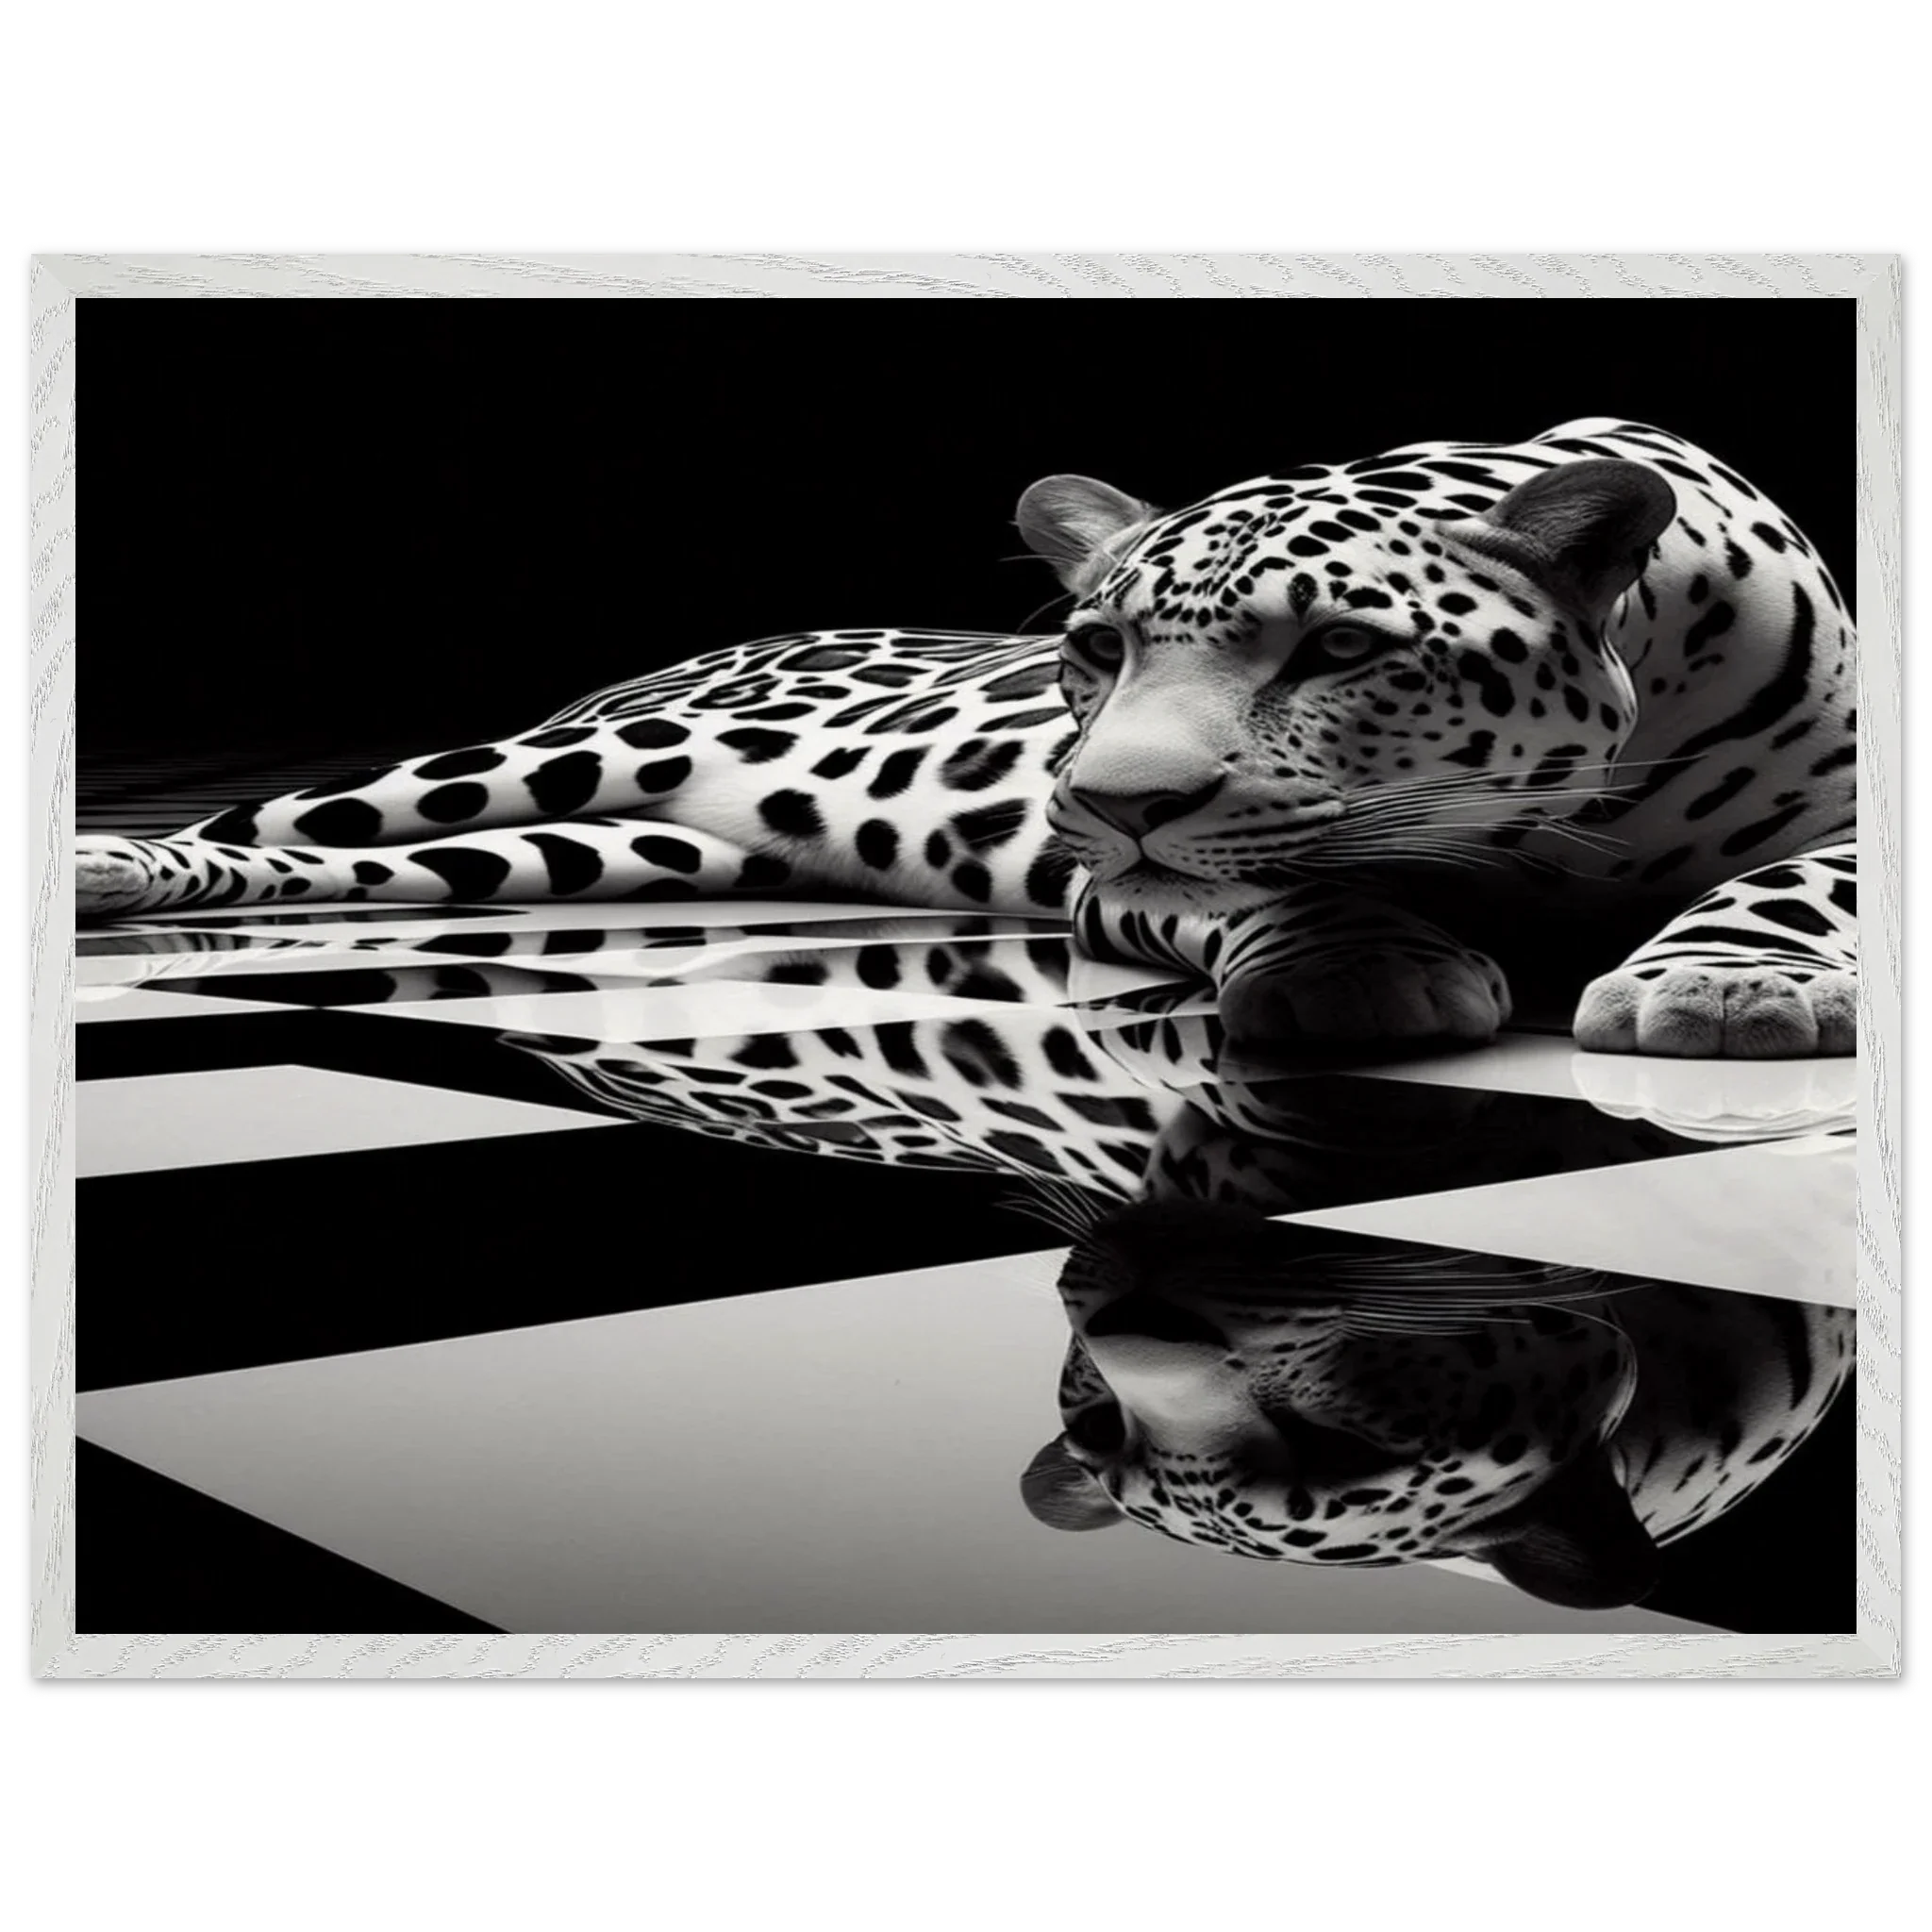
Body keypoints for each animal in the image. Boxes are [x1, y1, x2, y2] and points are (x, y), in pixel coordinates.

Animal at [74, 417, 1859, 1061]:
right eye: (1095, 649)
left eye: (1342, 648)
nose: (1109, 797)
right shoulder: (1119, 883)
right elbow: (1270, 882)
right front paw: (1362, 966)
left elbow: (1798, 881)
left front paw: (1730, 984)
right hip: (540, 766)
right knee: (276, 813)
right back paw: (108, 868)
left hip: (598, 845)